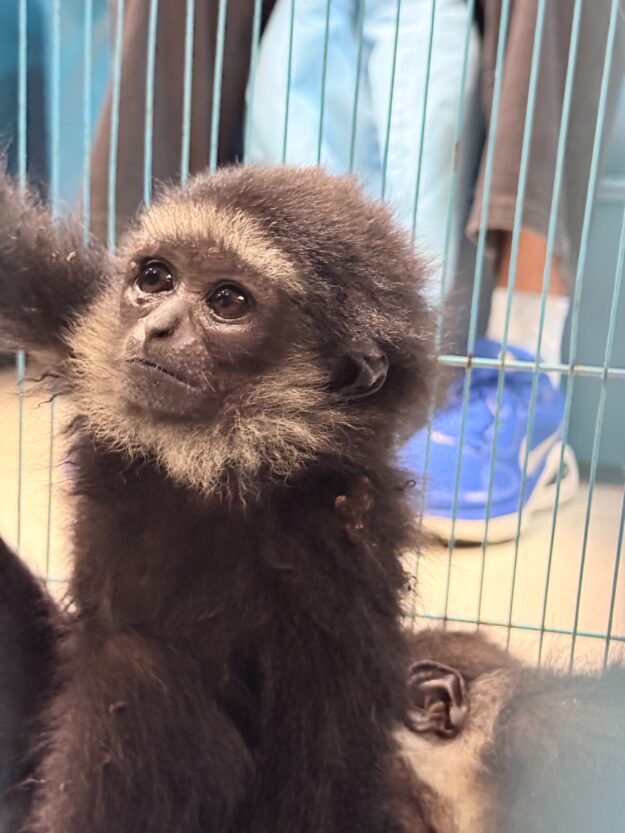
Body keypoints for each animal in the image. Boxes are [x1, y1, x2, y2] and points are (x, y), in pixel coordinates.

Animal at [0, 165, 436, 833]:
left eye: (228, 302)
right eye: (155, 278)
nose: (157, 326)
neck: (214, 468)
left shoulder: (345, 537)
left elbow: (327, 776)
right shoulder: (80, 318)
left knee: (135, 672)